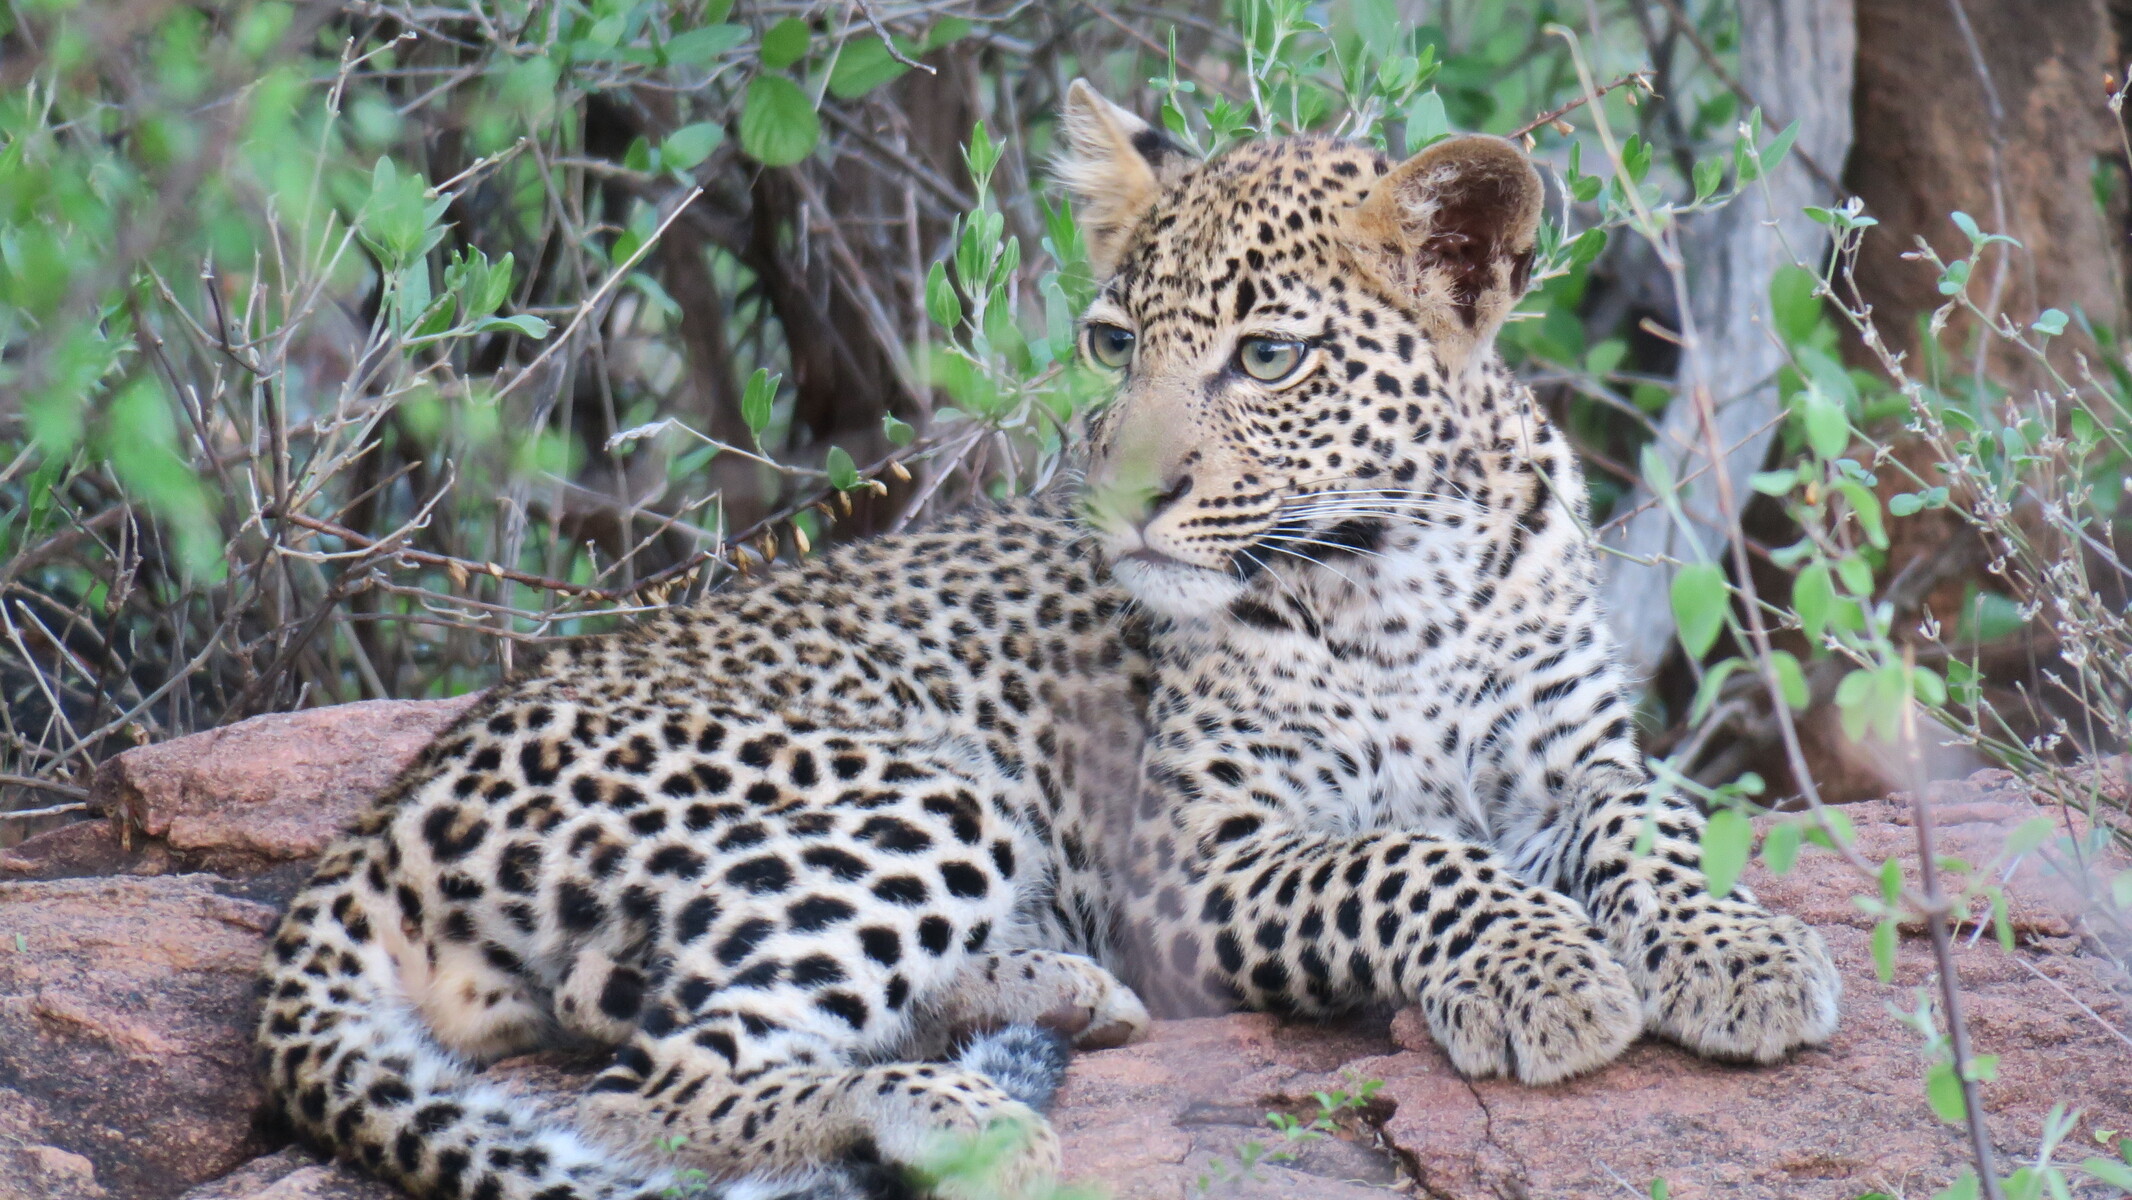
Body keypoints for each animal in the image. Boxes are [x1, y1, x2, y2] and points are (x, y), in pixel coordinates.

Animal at [254, 80, 1842, 1200]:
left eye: (1269, 357)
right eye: (1109, 343)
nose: (1121, 499)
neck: (1405, 585)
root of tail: (389, 809)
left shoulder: (1577, 760)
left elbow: (1656, 823)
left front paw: (1741, 955)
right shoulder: (1200, 870)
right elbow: (1407, 856)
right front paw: (1547, 976)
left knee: (630, 1012)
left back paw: (1047, 989)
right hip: (906, 793)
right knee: (652, 1084)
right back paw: (958, 1117)